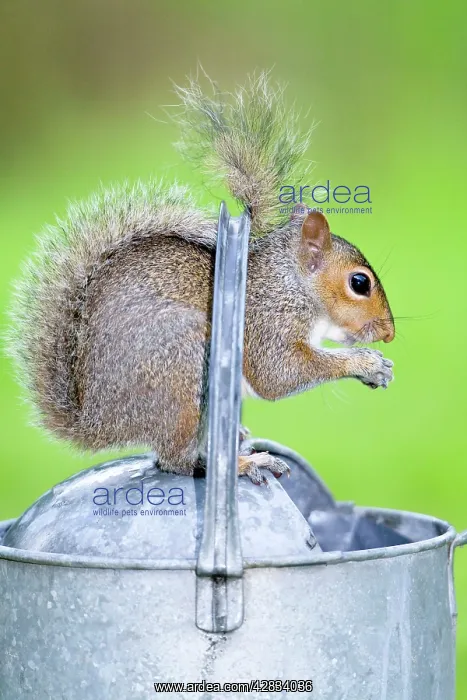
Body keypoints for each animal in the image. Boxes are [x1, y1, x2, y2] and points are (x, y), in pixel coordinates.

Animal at [7, 73, 394, 485]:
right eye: (359, 283)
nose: (389, 334)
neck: (290, 283)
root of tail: (99, 423)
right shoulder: (267, 323)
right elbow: (279, 374)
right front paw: (367, 364)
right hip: (180, 368)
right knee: (174, 460)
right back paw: (242, 464)